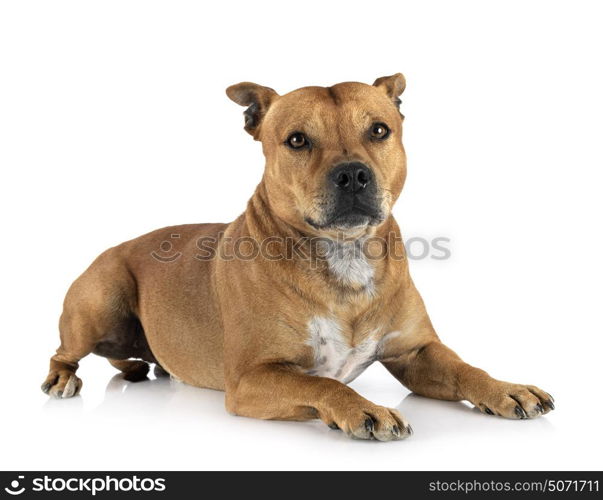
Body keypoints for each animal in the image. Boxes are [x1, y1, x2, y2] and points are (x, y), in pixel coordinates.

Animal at [40, 74, 556, 442]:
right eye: (297, 140)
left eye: (380, 130)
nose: (353, 174)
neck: (345, 256)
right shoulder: (252, 377)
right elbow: (322, 384)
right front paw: (363, 408)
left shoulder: (415, 351)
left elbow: (466, 368)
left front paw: (505, 388)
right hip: (100, 301)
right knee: (64, 352)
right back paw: (64, 379)